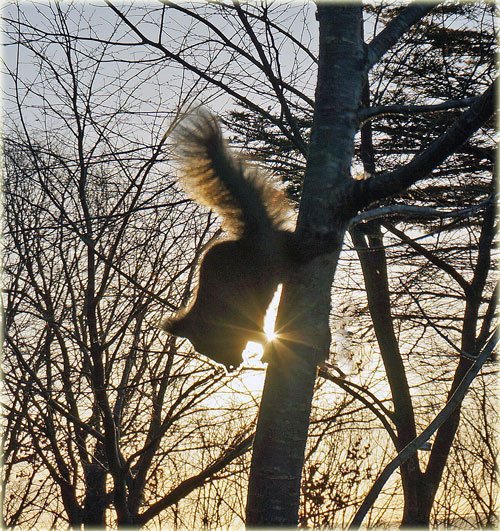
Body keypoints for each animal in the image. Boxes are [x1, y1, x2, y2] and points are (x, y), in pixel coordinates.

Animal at [162, 110, 298, 372]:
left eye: (212, 346)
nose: (230, 367)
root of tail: (251, 235)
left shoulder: (244, 319)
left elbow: (260, 336)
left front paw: (267, 349)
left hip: (266, 266)